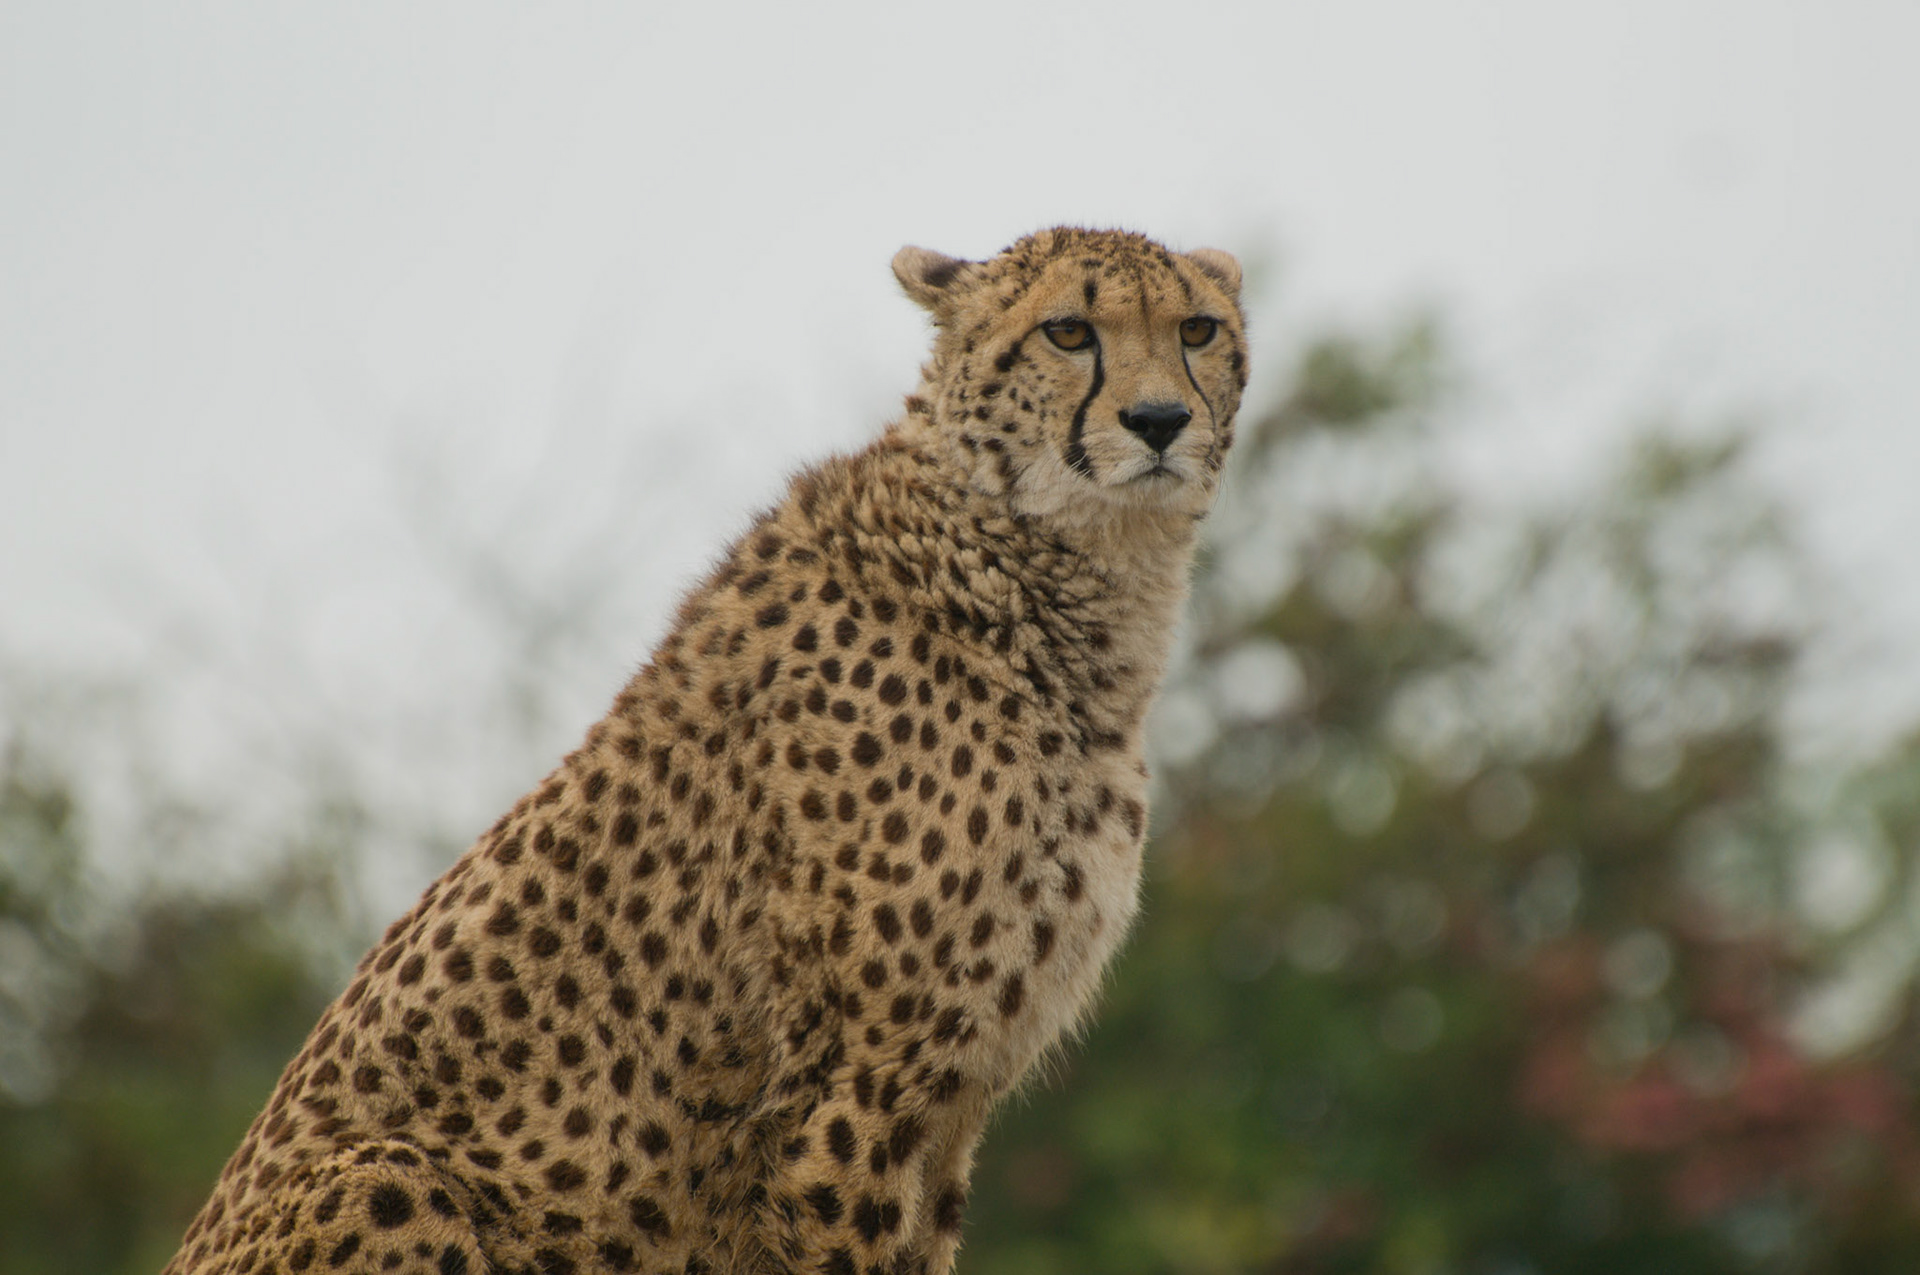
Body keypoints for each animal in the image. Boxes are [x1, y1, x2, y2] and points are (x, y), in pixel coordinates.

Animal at [164, 225, 1248, 1275]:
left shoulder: (948, 1104)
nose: (1160, 420)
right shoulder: (854, 1094)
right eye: (1069, 331)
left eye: (1197, 330)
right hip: (389, 1178)